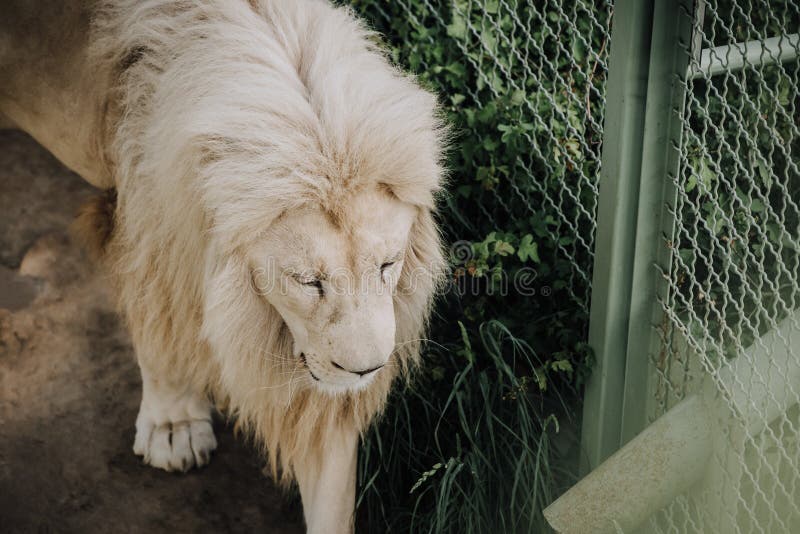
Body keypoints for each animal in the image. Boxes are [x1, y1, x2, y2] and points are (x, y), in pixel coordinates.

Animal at [0, 2, 446, 532]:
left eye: (387, 265)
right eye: (307, 281)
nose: (366, 370)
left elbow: (332, 486)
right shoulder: (148, 224)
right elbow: (160, 329)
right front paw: (173, 425)